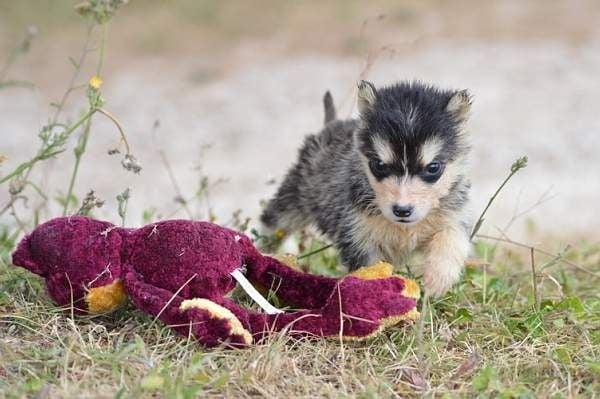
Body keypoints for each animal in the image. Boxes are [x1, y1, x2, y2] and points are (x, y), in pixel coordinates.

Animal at [262, 80, 474, 296]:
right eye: (379, 165)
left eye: (433, 167)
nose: (402, 210)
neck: (403, 228)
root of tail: (332, 124)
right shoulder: (357, 237)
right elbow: (370, 271)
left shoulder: (454, 217)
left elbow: (452, 240)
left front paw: (438, 279)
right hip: (294, 197)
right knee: (272, 221)